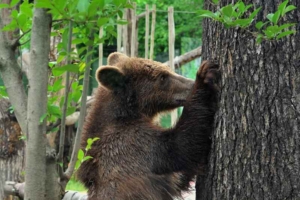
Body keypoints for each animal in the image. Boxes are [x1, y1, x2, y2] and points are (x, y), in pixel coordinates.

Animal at [77, 52, 218, 199]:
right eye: (162, 77)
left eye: (167, 70)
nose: (190, 83)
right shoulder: (134, 145)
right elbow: (181, 146)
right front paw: (204, 76)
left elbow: (181, 174)